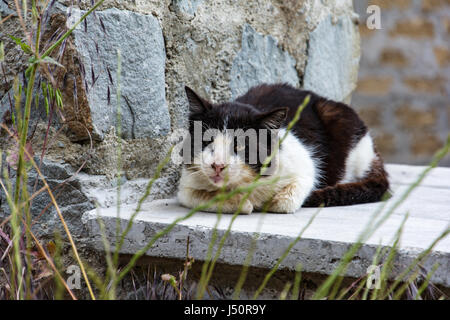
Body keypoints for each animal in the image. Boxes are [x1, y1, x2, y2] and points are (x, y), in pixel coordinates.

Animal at [178, 82, 388, 214]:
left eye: (240, 145)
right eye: (206, 142)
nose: (217, 165)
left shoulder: (304, 166)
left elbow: (284, 201)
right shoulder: (186, 184)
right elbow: (195, 196)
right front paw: (241, 203)